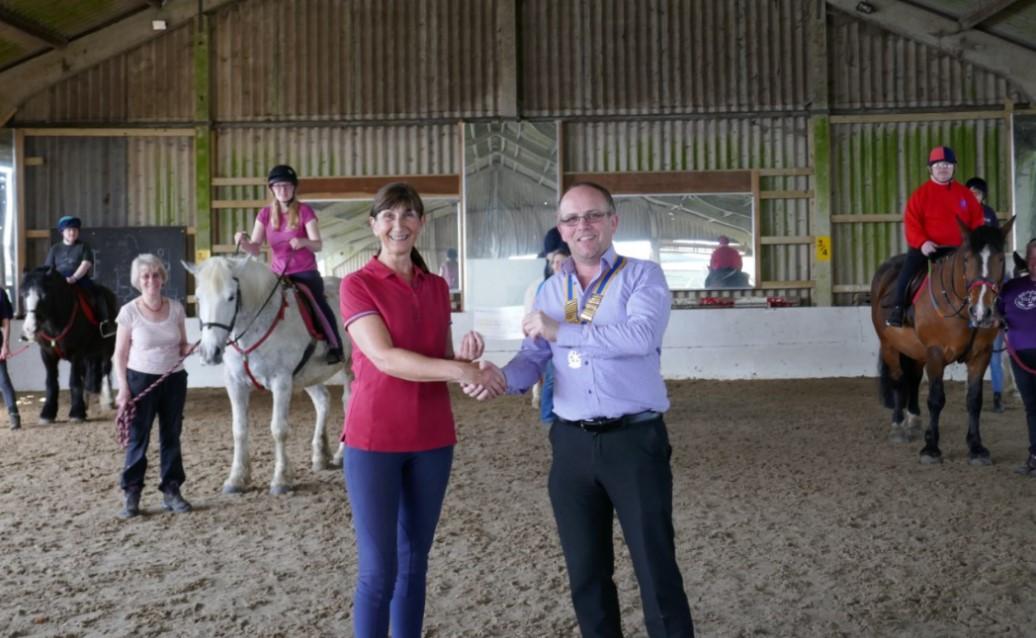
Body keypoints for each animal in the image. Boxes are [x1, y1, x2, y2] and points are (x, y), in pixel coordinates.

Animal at [19, 267, 116, 424]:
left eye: (44, 295)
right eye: (23, 294)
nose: (29, 328)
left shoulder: (76, 353)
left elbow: (74, 381)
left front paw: (76, 413)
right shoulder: (47, 353)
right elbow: (51, 382)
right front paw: (47, 414)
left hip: (108, 347)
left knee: (106, 368)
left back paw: (108, 401)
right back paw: (85, 401)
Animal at [183, 253, 352, 493]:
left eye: (231, 297)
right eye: (198, 298)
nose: (209, 352)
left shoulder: (281, 382)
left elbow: (278, 429)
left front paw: (281, 479)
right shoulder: (235, 384)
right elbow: (239, 430)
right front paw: (236, 479)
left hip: (350, 366)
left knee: (349, 403)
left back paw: (340, 454)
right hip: (307, 375)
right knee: (322, 401)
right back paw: (320, 455)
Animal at [874, 219, 1011, 464]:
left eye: (1001, 259)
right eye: (967, 259)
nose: (981, 311)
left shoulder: (981, 355)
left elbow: (974, 400)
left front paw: (976, 447)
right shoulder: (936, 353)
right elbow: (936, 399)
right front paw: (931, 448)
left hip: (916, 351)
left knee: (913, 379)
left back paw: (914, 420)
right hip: (890, 345)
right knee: (899, 380)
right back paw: (898, 427)